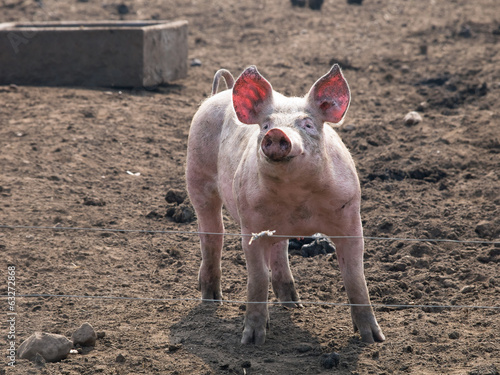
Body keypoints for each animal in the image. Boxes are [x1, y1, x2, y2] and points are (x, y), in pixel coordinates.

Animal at [186, 64, 384, 346]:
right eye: (266, 124)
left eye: (308, 124)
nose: (276, 134)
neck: (295, 198)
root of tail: (224, 91)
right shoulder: (251, 225)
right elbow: (257, 278)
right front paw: (252, 340)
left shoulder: (350, 218)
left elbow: (356, 277)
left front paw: (374, 340)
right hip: (197, 175)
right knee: (212, 234)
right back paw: (212, 300)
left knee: (278, 249)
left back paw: (292, 304)